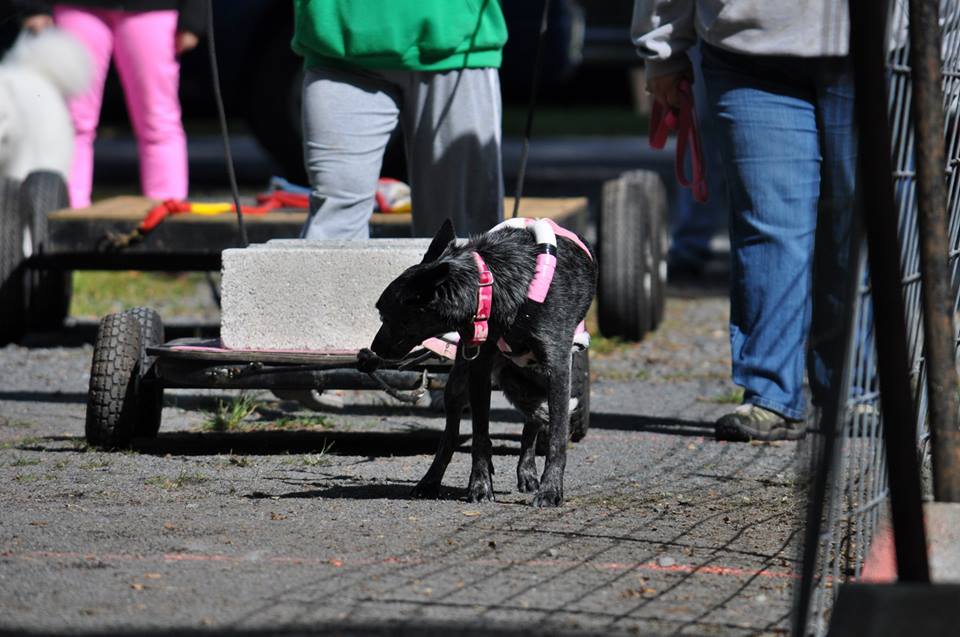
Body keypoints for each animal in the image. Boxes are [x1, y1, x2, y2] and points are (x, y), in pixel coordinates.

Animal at [366, 219, 592, 506]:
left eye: (386, 314)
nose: (373, 349)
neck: (495, 286)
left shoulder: (559, 369)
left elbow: (557, 438)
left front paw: (551, 490)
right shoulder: (479, 369)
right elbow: (480, 436)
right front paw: (480, 485)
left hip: (541, 385)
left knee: (537, 419)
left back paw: (528, 472)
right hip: (462, 384)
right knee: (451, 435)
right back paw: (430, 482)